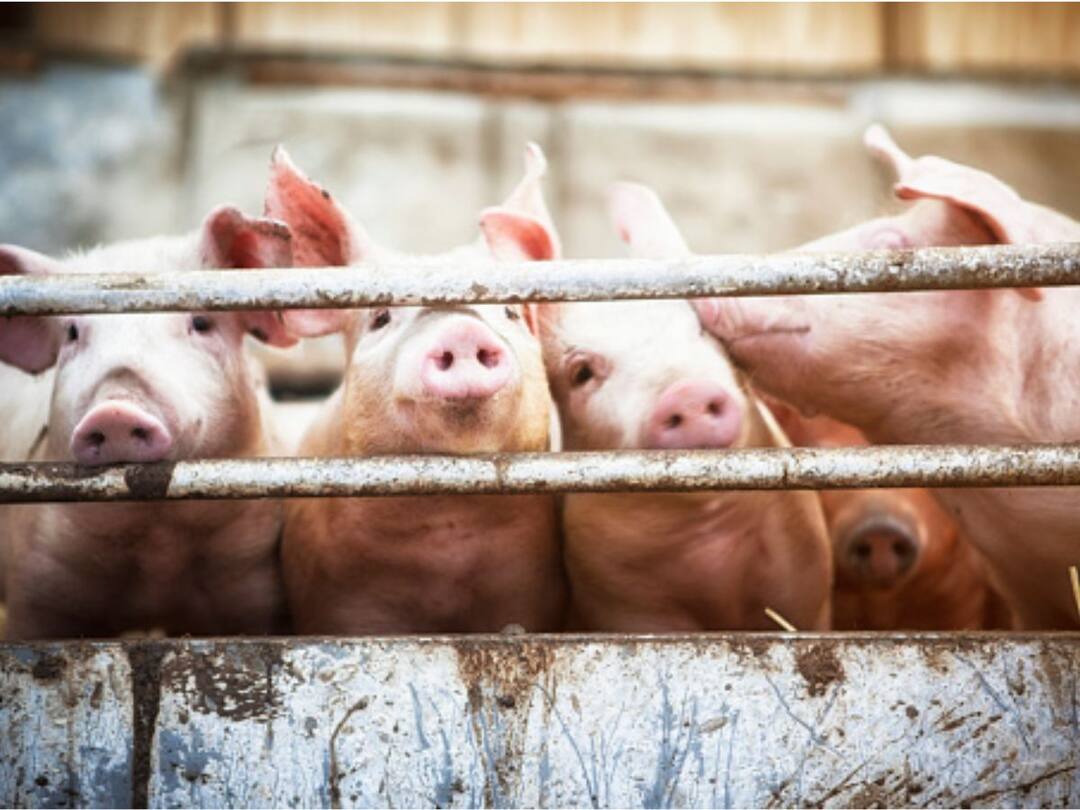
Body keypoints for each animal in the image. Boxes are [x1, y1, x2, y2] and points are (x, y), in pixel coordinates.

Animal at [0, 206, 298, 639]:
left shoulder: (255, 586)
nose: (117, 411)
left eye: (201, 324)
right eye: (71, 333)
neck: (158, 544)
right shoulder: (38, 584)